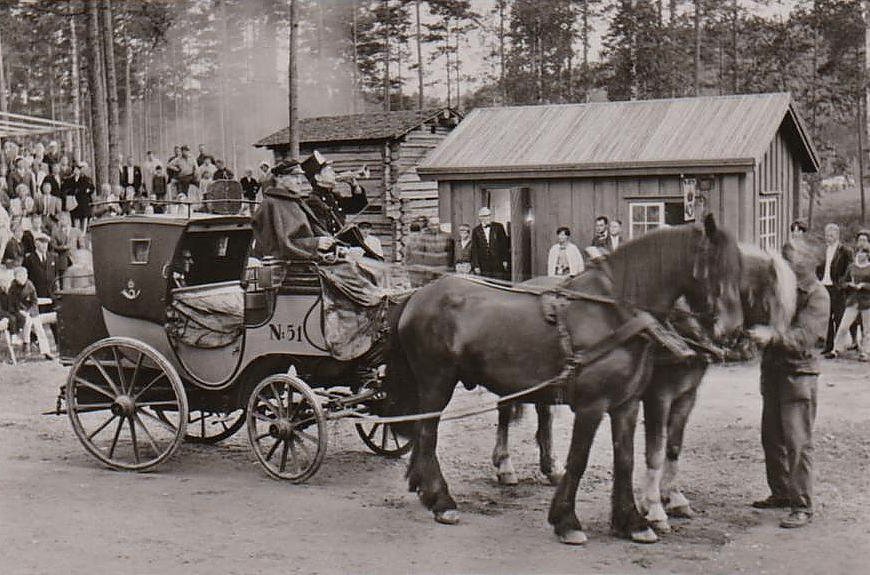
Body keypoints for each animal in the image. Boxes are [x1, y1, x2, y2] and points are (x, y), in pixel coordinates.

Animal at [384, 215, 744, 544]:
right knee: (427, 433)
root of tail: (418, 295)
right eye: (717, 265)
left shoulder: (626, 405)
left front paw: (631, 521)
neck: (615, 314)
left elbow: (625, 460)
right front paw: (567, 520)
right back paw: (441, 500)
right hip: (436, 381)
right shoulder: (592, 406)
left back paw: (424, 486)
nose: (734, 331)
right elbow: (579, 459)